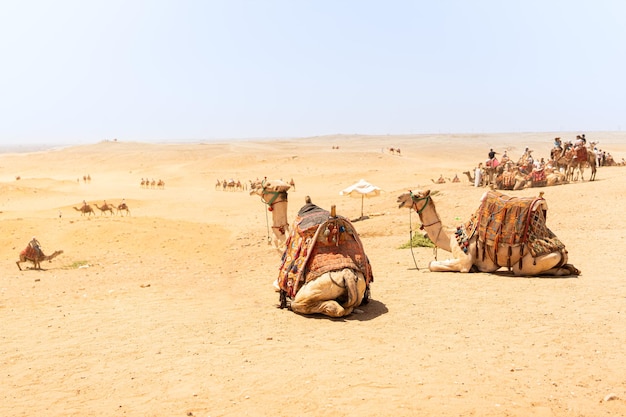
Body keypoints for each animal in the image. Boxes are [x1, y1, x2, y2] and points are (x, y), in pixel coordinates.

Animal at [398, 189, 576, 276]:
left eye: (417, 195)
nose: (399, 198)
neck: (450, 236)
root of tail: (562, 250)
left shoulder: (464, 260)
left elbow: (432, 264)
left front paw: (473, 269)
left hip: (532, 262)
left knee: (521, 270)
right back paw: (571, 269)